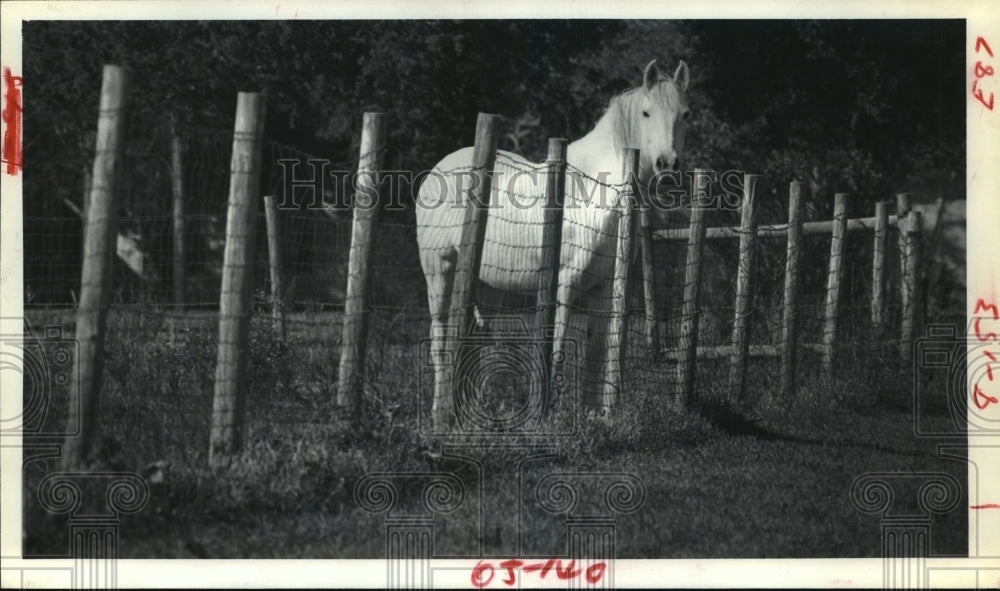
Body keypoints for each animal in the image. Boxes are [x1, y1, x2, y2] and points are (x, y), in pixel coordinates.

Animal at [414, 60, 688, 428]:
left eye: (684, 114)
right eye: (646, 113)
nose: (667, 165)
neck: (598, 190)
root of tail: (436, 171)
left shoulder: (604, 289)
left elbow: (598, 351)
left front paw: (595, 415)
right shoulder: (565, 284)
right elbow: (556, 349)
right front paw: (547, 415)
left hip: (481, 284)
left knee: (473, 335)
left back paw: (471, 411)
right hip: (439, 270)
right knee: (440, 335)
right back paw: (439, 414)